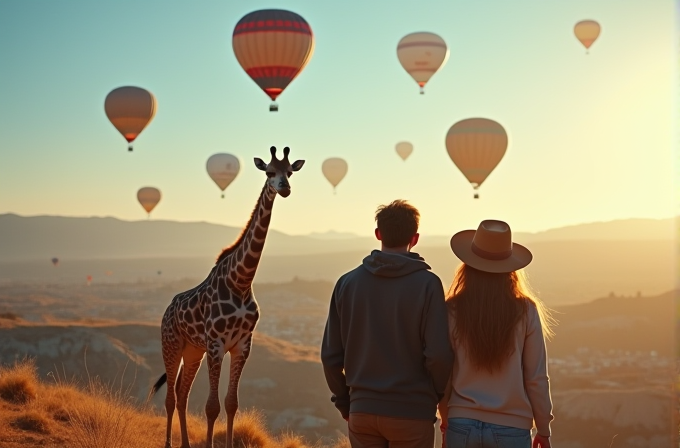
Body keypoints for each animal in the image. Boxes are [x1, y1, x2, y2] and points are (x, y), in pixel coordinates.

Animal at [150, 145, 306, 446]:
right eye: (269, 172)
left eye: (290, 172)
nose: (285, 188)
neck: (241, 281)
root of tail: (167, 309)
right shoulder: (216, 344)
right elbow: (212, 406)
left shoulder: (242, 345)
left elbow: (231, 403)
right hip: (171, 345)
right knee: (171, 397)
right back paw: (169, 443)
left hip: (193, 350)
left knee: (182, 394)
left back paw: (185, 443)